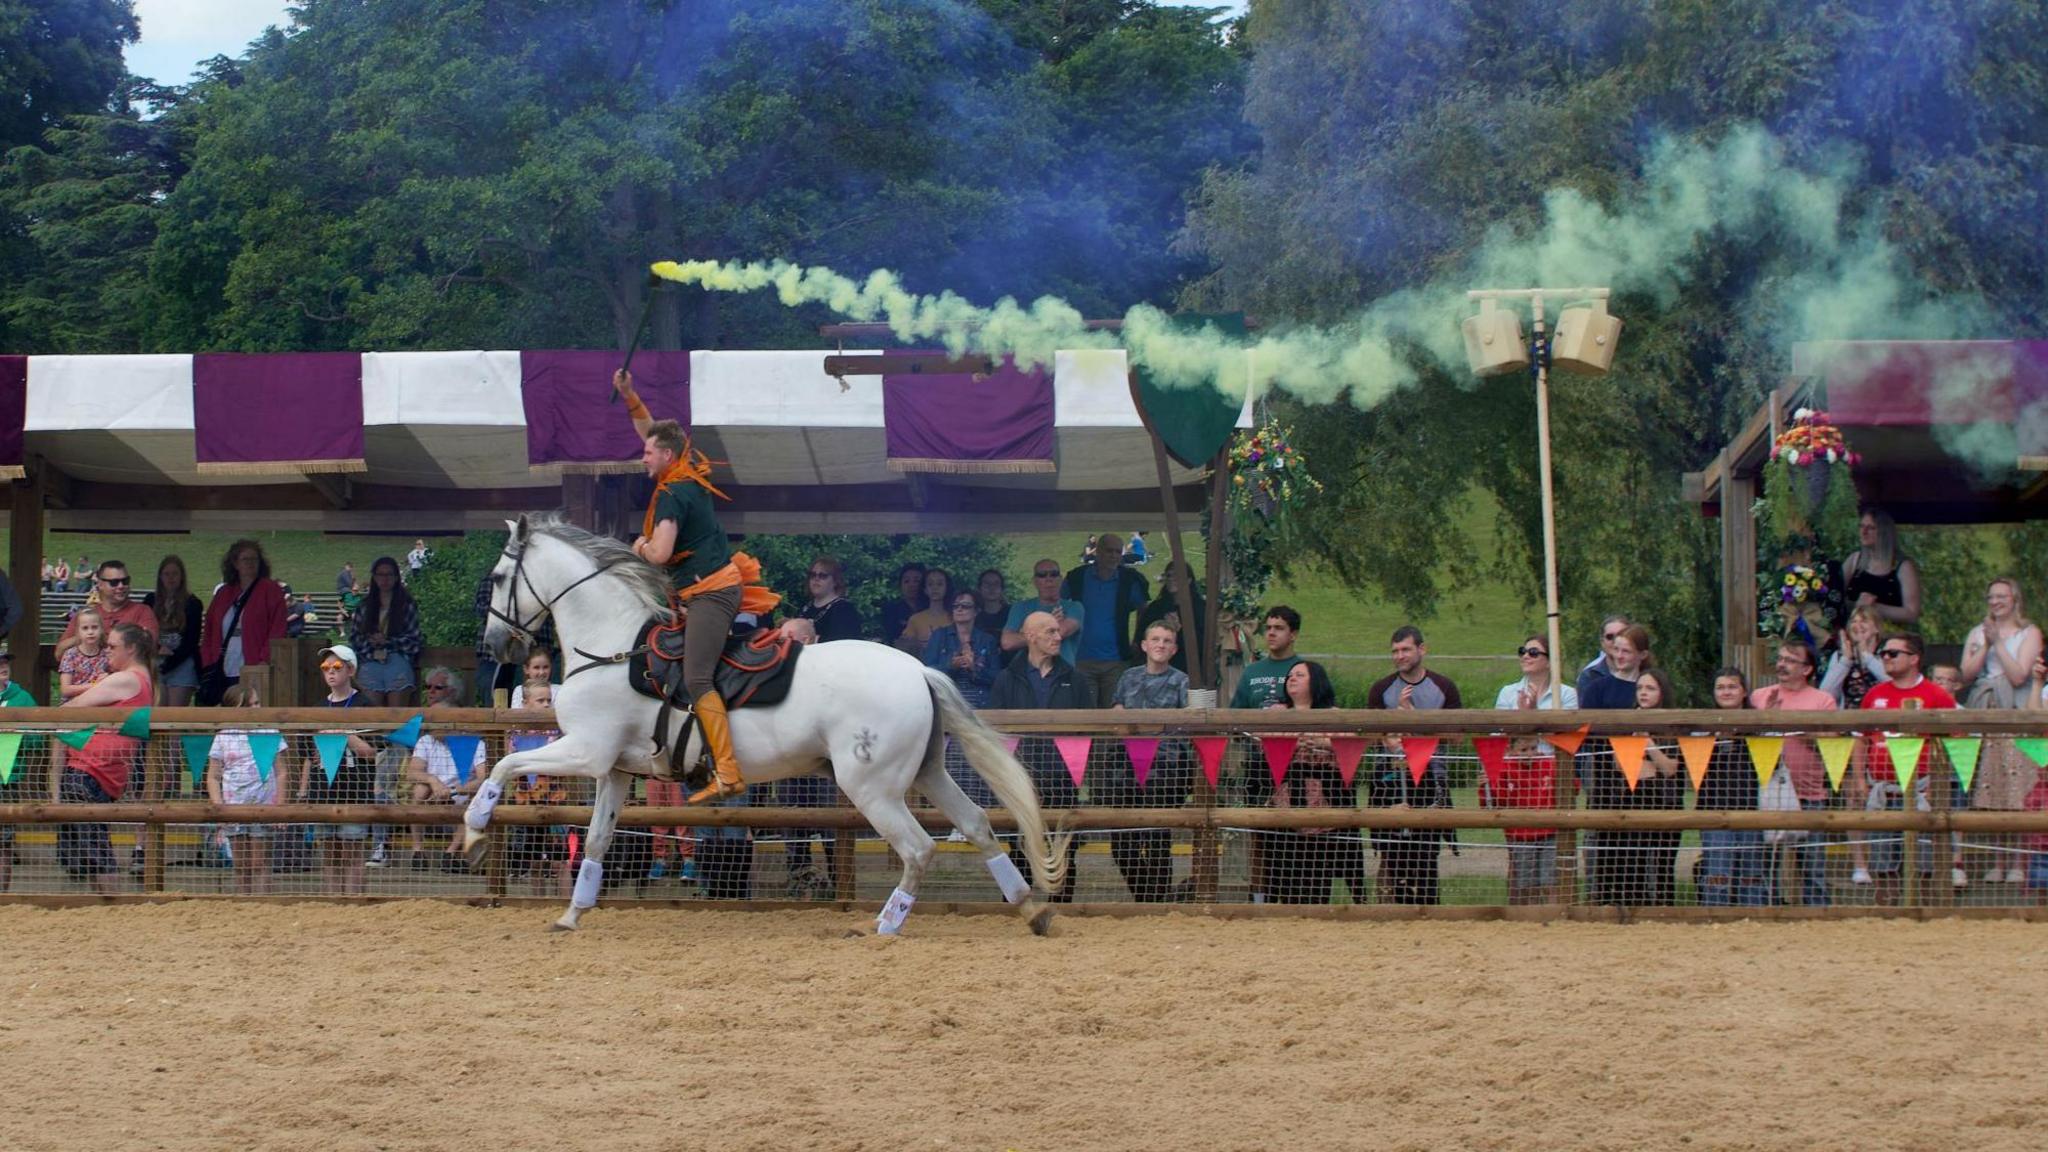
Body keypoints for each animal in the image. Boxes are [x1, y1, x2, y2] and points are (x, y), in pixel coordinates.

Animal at [464, 512, 1073, 934]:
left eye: (498, 576)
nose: (494, 645)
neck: (612, 645)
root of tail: (917, 669)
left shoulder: (585, 751)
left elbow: (508, 763)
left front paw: (472, 831)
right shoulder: (615, 769)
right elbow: (595, 838)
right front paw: (572, 914)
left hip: (872, 788)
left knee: (919, 847)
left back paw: (884, 925)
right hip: (926, 773)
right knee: (977, 825)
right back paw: (1031, 909)